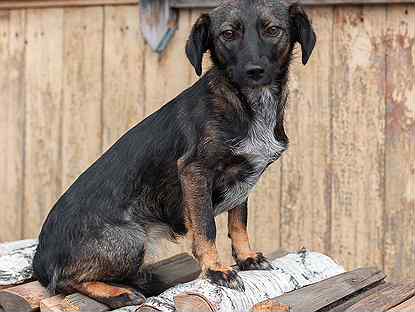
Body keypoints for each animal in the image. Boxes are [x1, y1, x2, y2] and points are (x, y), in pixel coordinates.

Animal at [33, 0, 316, 308]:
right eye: (228, 34)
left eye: (273, 30)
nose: (254, 70)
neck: (245, 103)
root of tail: (40, 258)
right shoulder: (194, 171)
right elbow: (206, 227)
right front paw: (216, 269)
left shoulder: (244, 177)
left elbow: (238, 221)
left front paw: (246, 258)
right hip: (130, 239)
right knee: (63, 283)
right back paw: (118, 292)